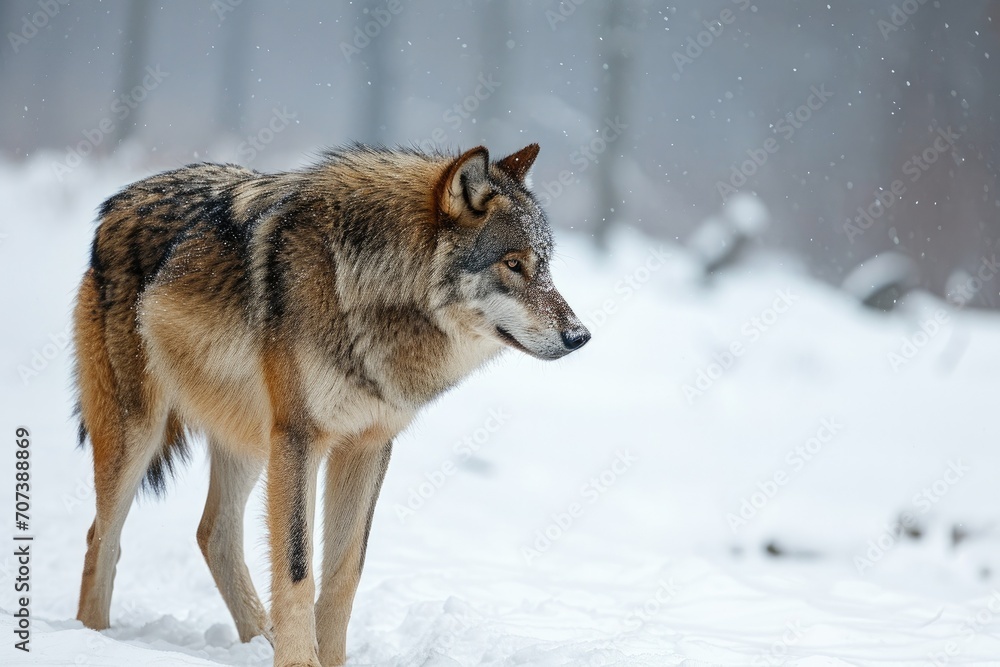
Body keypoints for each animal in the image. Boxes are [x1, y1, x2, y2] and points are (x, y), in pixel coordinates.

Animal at [74, 144, 588, 664]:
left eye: (545, 266)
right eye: (513, 264)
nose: (580, 336)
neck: (365, 288)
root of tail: (117, 202)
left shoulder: (367, 445)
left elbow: (344, 574)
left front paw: (329, 658)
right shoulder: (300, 438)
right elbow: (298, 568)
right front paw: (301, 660)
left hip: (250, 441)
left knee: (212, 535)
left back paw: (259, 640)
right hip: (140, 432)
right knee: (103, 537)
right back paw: (92, 638)